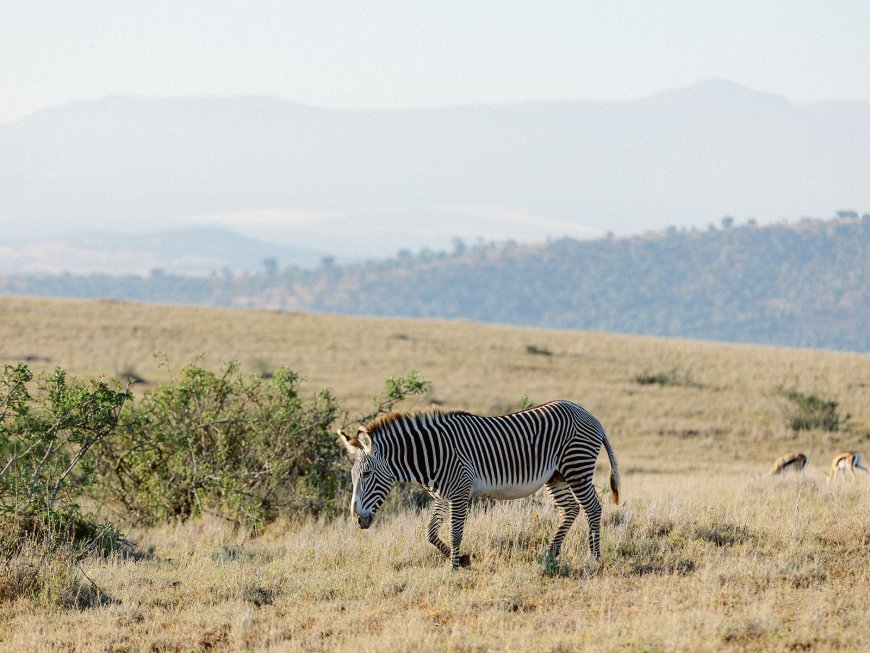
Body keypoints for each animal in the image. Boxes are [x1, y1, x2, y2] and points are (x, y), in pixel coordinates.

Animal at [338, 400, 620, 568]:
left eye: (366, 475)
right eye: (352, 476)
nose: (356, 519)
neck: (431, 454)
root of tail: (589, 415)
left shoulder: (460, 491)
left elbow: (455, 532)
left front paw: (454, 569)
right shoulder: (442, 496)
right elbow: (430, 533)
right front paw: (462, 560)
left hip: (577, 468)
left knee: (593, 508)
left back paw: (594, 558)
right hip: (557, 476)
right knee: (570, 509)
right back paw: (550, 554)